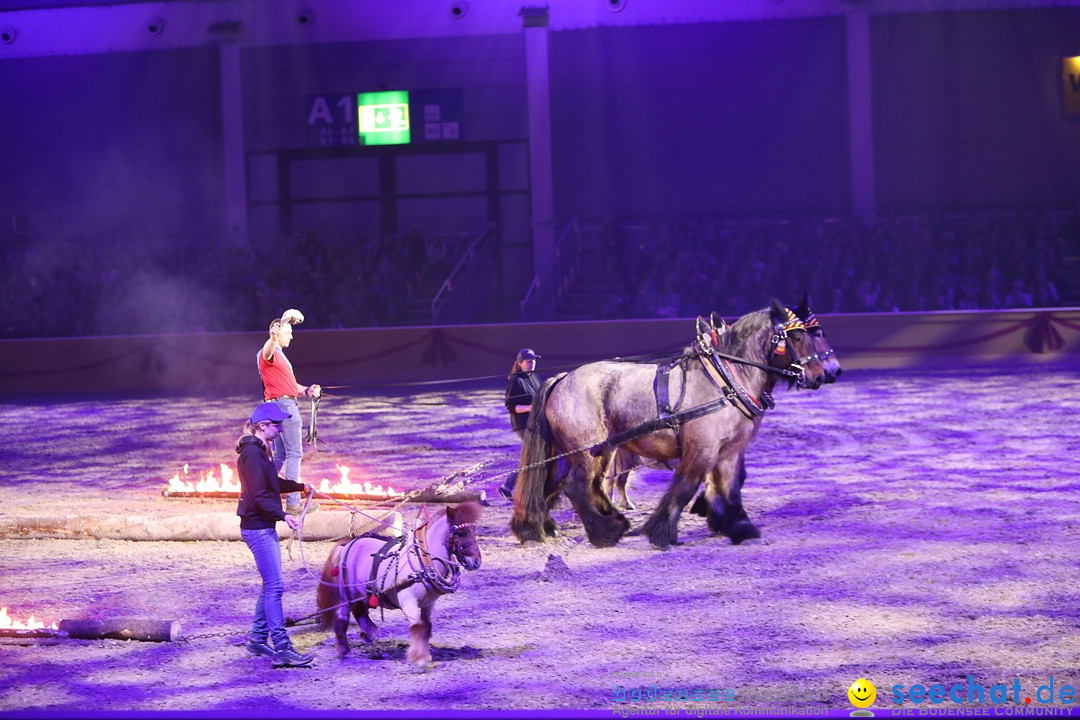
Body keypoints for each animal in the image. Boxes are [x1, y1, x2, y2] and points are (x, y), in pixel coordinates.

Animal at [313, 505, 481, 669]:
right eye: (460, 533)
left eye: (474, 531)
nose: (476, 562)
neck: (421, 562)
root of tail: (347, 544)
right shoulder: (408, 602)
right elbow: (418, 626)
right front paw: (419, 659)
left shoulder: (428, 604)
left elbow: (427, 627)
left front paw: (425, 655)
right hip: (346, 593)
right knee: (342, 616)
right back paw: (343, 650)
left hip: (362, 592)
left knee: (360, 610)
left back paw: (369, 632)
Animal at [507, 302, 825, 548]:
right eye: (797, 337)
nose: (825, 373)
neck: (724, 378)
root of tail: (562, 378)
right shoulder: (702, 449)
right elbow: (685, 486)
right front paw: (661, 532)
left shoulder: (730, 450)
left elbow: (730, 487)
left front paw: (738, 526)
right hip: (589, 450)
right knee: (577, 486)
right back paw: (606, 531)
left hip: (584, 451)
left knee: (560, 484)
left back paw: (537, 527)